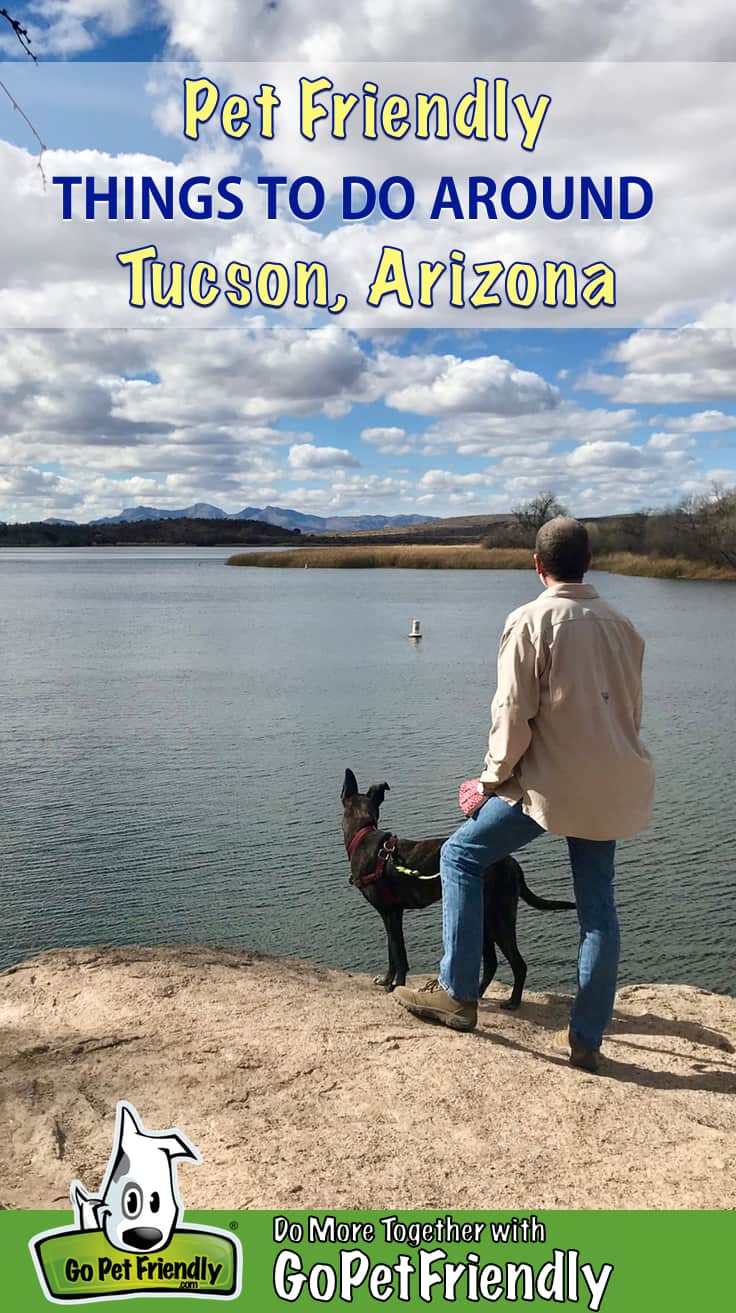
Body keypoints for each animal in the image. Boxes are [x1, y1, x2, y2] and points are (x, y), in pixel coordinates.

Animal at [338, 766, 574, 1008]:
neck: (362, 835)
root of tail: (512, 863)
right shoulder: (391, 914)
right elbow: (392, 952)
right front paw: (387, 980)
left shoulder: (390, 913)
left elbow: (399, 954)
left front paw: (395, 985)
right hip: (485, 919)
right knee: (492, 963)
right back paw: (476, 994)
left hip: (499, 918)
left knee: (518, 964)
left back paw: (512, 1002)